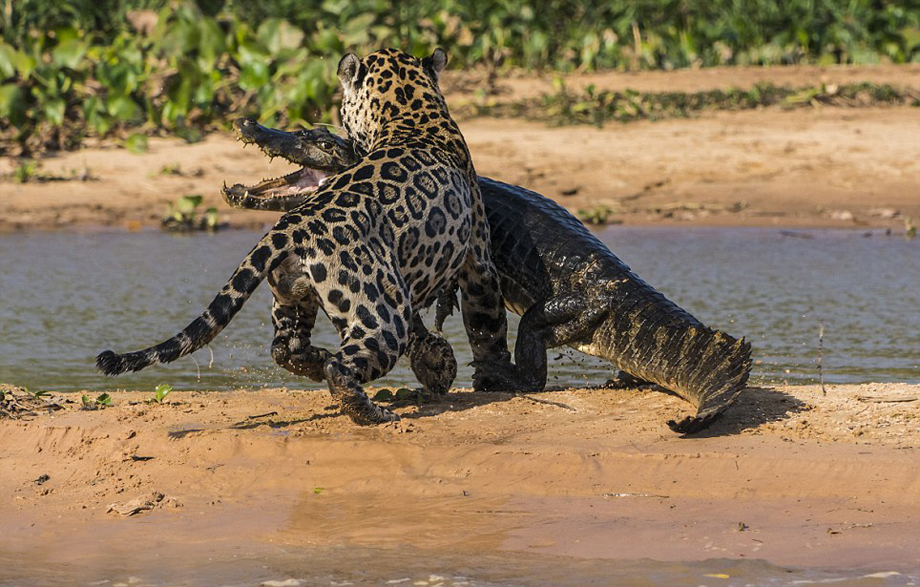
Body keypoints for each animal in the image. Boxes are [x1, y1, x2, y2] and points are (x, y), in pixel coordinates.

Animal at [96, 48, 520, 425]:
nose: (248, 124)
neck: (409, 110)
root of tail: (293, 225)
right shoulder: (478, 260)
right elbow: (487, 324)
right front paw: (495, 378)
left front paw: (440, 364)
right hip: (383, 311)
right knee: (342, 364)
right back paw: (372, 412)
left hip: (292, 295)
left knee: (286, 347)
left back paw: (318, 363)